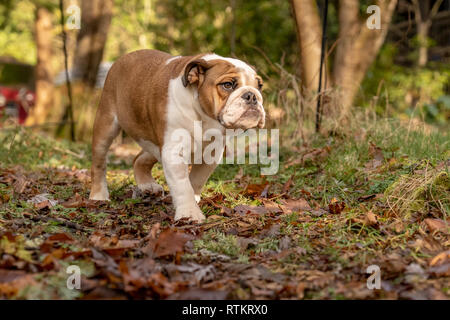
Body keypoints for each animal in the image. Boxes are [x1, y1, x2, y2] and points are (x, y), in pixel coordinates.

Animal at [89, 50, 264, 222]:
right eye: (228, 85)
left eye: (259, 85)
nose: (252, 95)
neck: (204, 118)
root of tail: (123, 58)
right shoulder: (173, 152)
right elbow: (182, 185)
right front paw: (189, 213)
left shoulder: (211, 154)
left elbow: (196, 181)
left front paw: (192, 201)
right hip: (106, 124)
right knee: (99, 163)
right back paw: (99, 195)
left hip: (155, 142)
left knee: (139, 158)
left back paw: (147, 185)